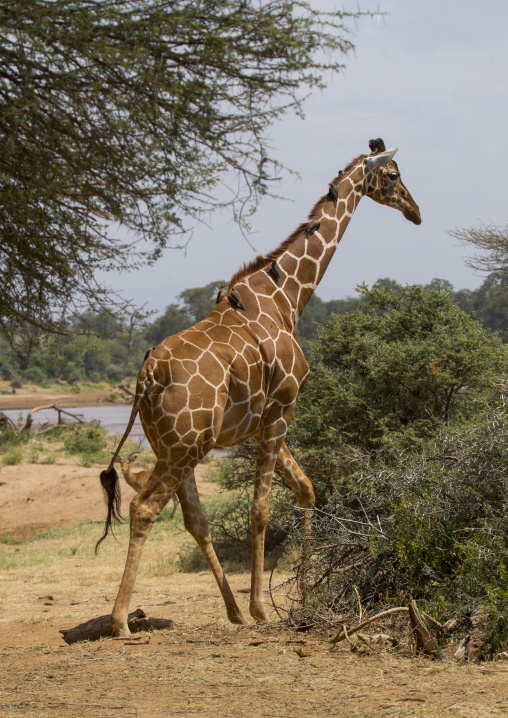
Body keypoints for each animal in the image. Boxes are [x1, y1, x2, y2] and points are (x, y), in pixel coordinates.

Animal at [99, 139, 421, 637]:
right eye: (392, 174)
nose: (415, 210)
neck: (288, 297)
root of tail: (147, 375)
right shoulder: (285, 405)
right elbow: (262, 508)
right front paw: (263, 607)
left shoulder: (262, 419)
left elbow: (306, 490)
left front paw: (303, 595)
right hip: (186, 444)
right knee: (145, 509)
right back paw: (121, 621)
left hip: (175, 443)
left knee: (194, 519)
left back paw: (228, 610)